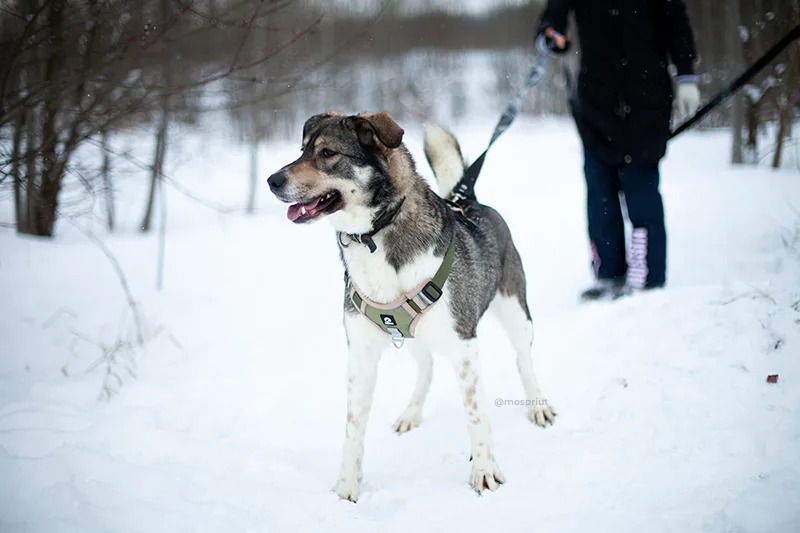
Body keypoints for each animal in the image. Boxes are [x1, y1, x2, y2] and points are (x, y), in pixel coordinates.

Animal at [268, 111, 556, 498]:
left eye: (327, 153)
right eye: (301, 150)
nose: (272, 181)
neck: (374, 236)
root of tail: (471, 200)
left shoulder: (464, 347)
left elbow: (476, 415)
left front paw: (484, 470)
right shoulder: (360, 355)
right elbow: (353, 427)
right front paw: (347, 486)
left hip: (515, 311)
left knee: (523, 359)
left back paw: (538, 405)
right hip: (411, 337)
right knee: (427, 366)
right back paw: (411, 412)